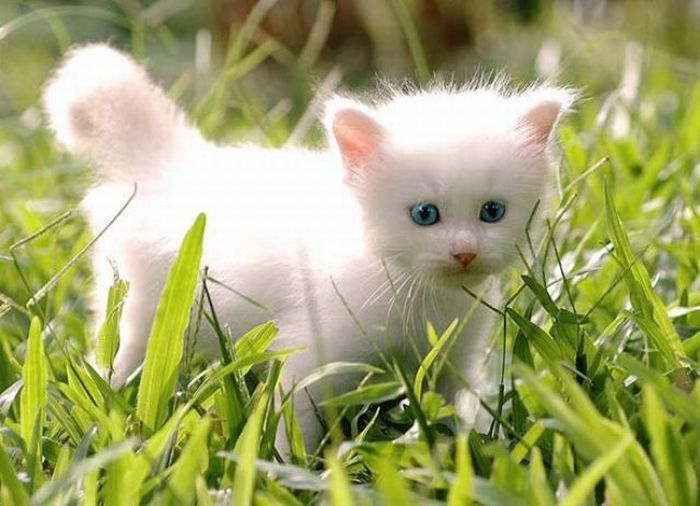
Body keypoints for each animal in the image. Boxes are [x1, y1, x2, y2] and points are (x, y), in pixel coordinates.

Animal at [41, 44, 572, 450]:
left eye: (492, 212)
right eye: (425, 214)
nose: (465, 253)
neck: (415, 292)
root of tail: (171, 162)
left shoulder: (453, 362)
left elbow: (447, 412)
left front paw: (455, 451)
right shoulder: (311, 353)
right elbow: (291, 421)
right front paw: (283, 470)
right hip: (142, 308)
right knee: (121, 357)